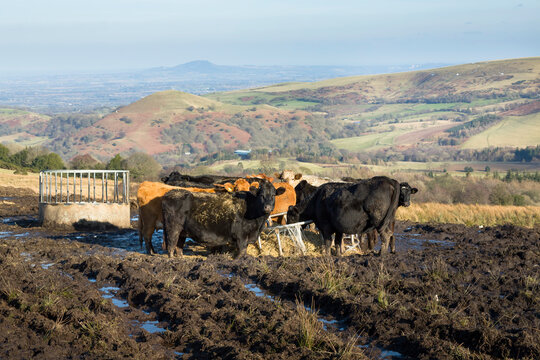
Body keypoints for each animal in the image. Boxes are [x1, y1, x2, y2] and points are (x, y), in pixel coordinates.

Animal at [286, 176, 418, 256]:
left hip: (379, 220)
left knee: (385, 234)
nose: (287, 230)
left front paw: (327, 256)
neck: (316, 200)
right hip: (388, 219)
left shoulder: (326, 226)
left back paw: (381, 254)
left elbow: (328, 242)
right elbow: (337, 242)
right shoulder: (338, 227)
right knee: (389, 234)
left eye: (290, 217)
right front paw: (339, 255)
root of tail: (389, 180)